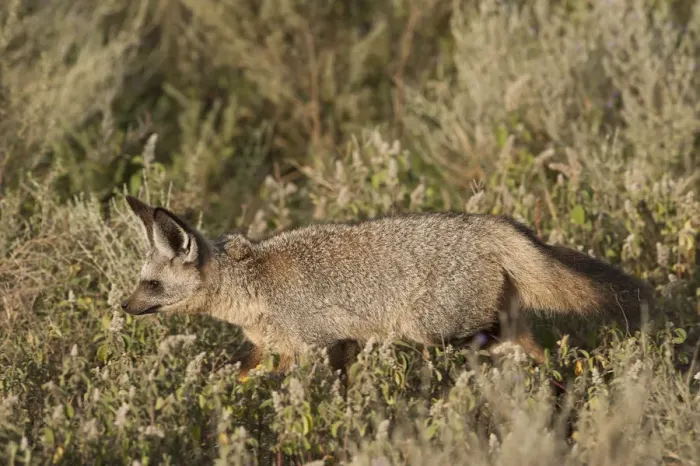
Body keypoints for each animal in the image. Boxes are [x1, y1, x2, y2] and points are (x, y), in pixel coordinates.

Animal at [120, 194, 653, 380]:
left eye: (151, 284)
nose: (124, 307)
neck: (252, 286)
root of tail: (491, 224)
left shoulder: (315, 346)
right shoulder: (303, 347)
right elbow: (242, 373)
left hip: (443, 332)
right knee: (538, 350)